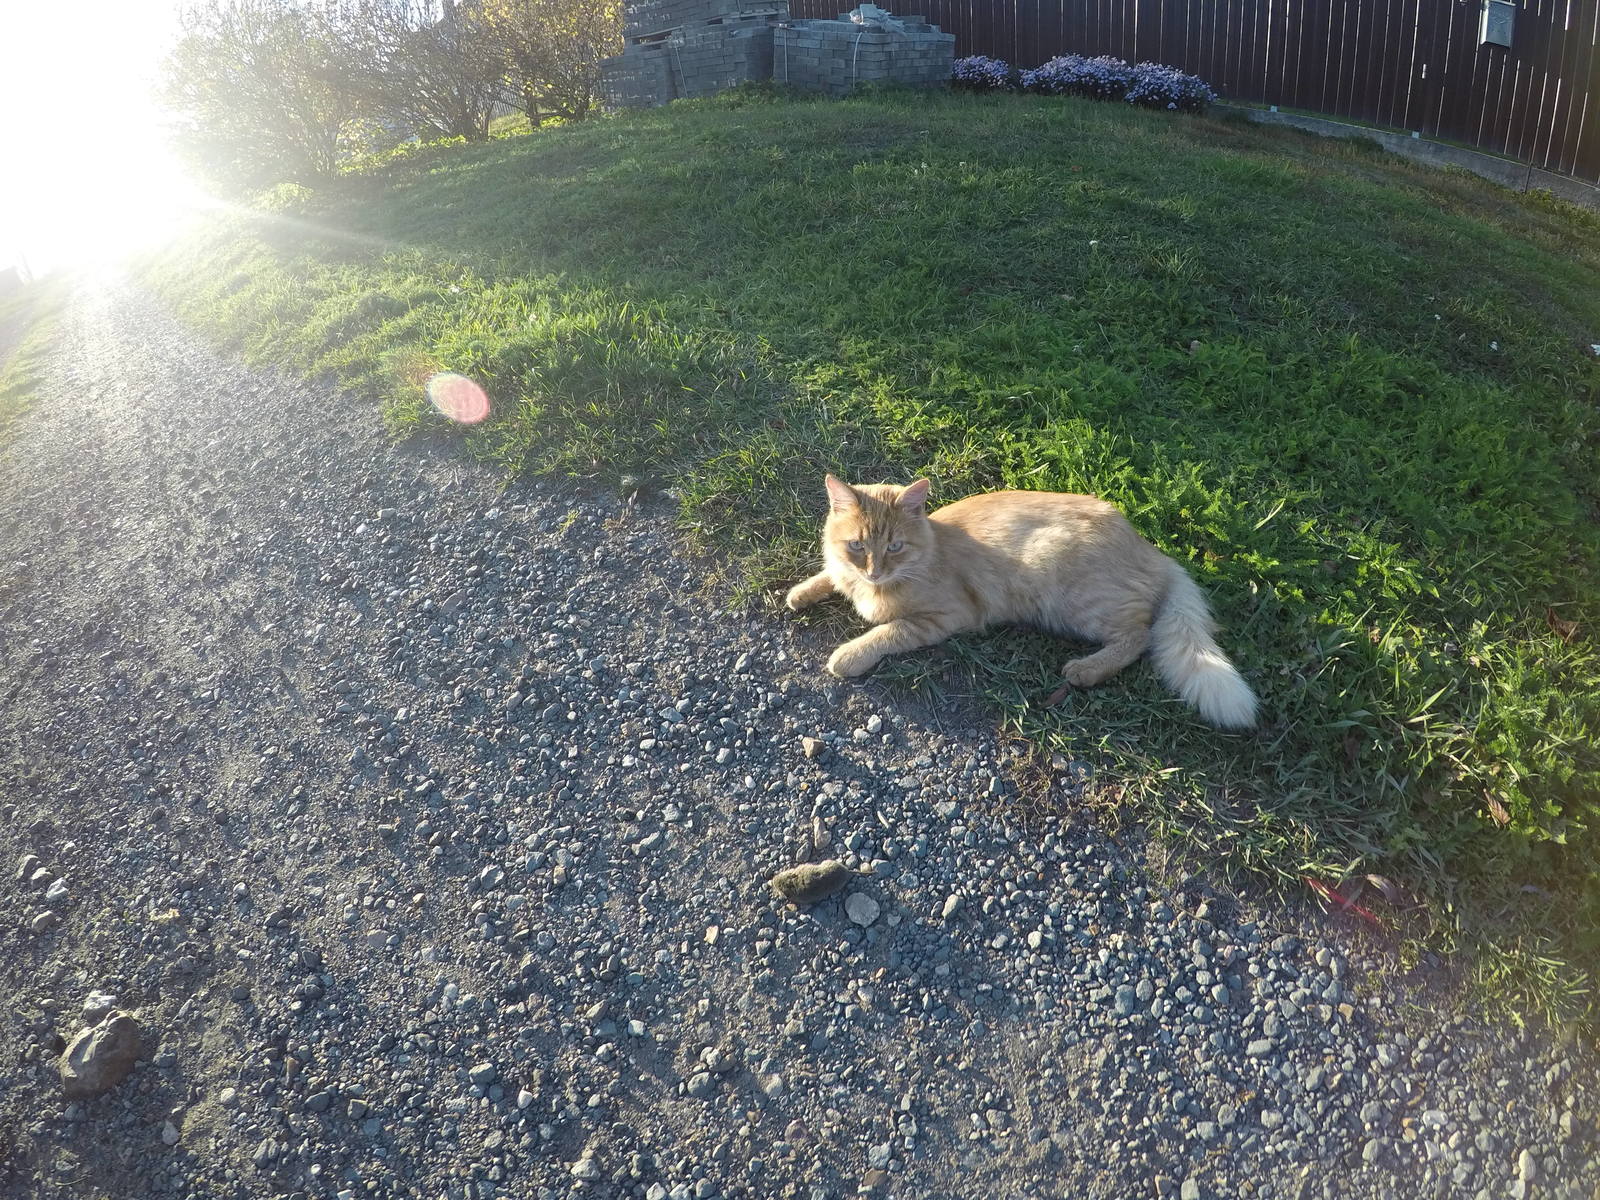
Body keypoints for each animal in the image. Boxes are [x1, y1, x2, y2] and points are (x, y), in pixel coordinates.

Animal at [787, 473, 1260, 729]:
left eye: (895, 547)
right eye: (857, 546)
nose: (874, 571)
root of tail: (1154, 552)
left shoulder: (944, 617)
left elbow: (886, 632)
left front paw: (848, 656)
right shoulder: (845, 572)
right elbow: (829, 575)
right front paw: (800, 593)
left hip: (1076, 599)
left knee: (1139, 635)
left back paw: (1086, 670)